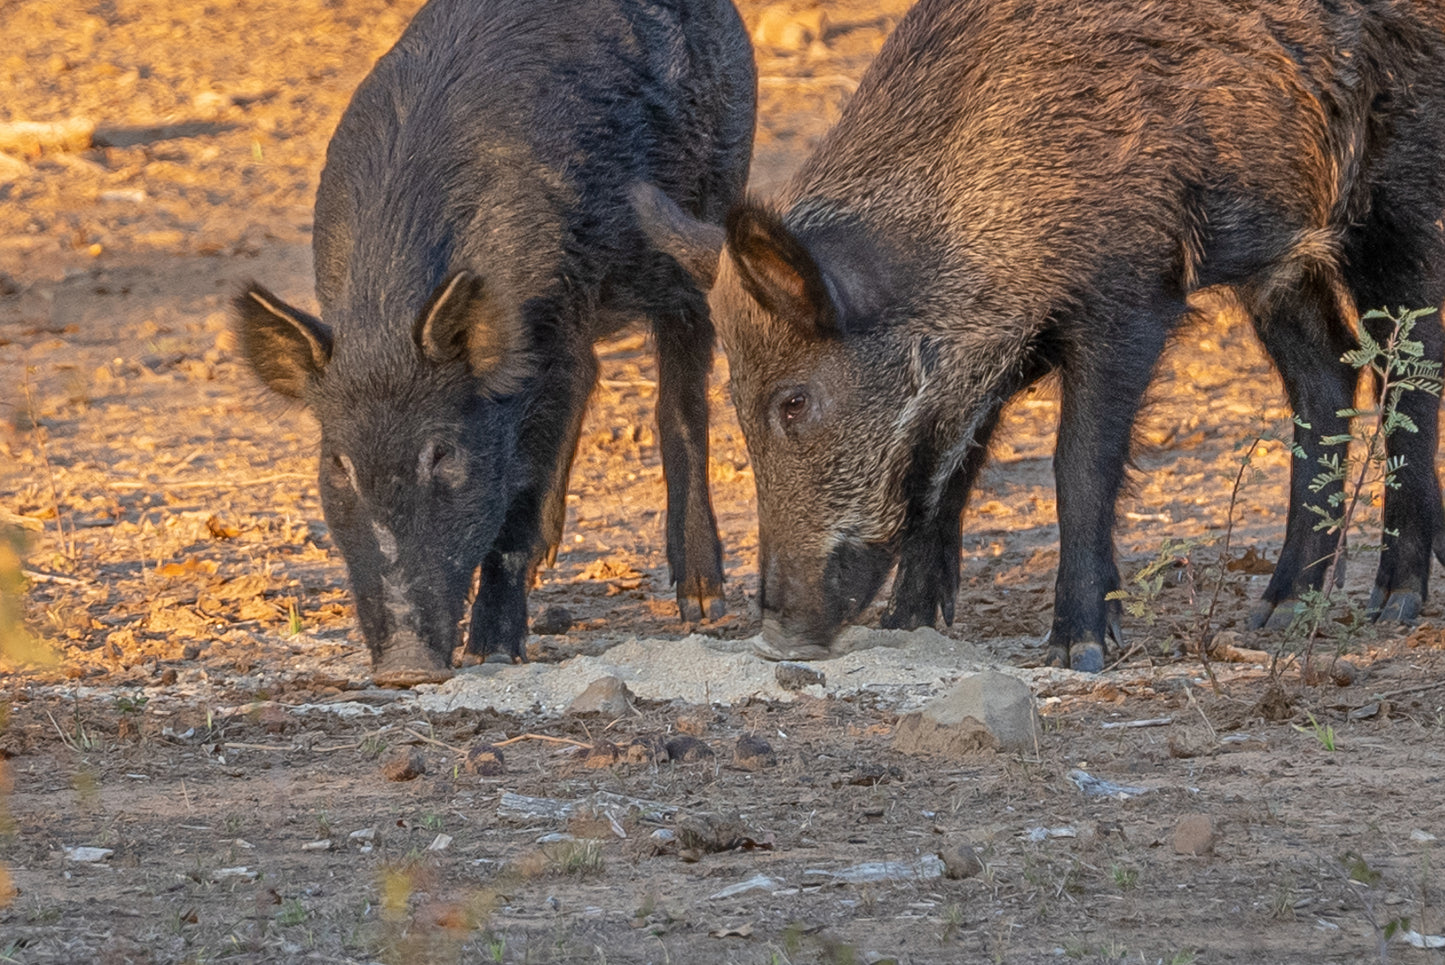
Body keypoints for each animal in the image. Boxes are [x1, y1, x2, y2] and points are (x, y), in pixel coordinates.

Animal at [234, 0, 755, 680]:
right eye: (337, 464)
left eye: (443, 453)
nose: (405, 667)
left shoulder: (553, 326)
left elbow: (520, 499)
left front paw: (493, 654)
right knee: (595, 376)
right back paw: (551, 564)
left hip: (704, 212)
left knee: (682, 395)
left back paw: (701, 602)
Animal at [636, 0, 1445, 671]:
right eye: (738, 405)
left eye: (794, 402)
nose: (777, 637)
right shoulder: (992, 352)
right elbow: (952, 470)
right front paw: (909, 625)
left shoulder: (1129, 297)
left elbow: (1077, 464)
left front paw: (1076, 651)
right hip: (1280, 254)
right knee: (1331, 372)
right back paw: (1272, 616)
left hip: (1399, 198)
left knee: (1412, 366)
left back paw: (1394, 605)